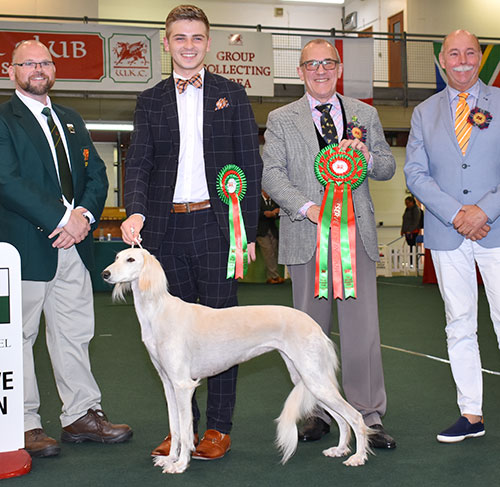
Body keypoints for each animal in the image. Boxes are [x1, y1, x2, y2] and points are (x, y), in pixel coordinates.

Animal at [100, 250, 372, 474]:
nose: (105, 274)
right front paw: (169, 458)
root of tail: (316, 327)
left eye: (131, 259)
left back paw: (357, 457)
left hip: (315, 379)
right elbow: (175, 429)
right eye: (116, 257)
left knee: (355, 417)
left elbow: (186, 431)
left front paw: (180, 464)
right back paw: (339, 450)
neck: (158, 311)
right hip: (307, 380)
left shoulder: (183, 385)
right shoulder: (168, 385)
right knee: (341, 419)